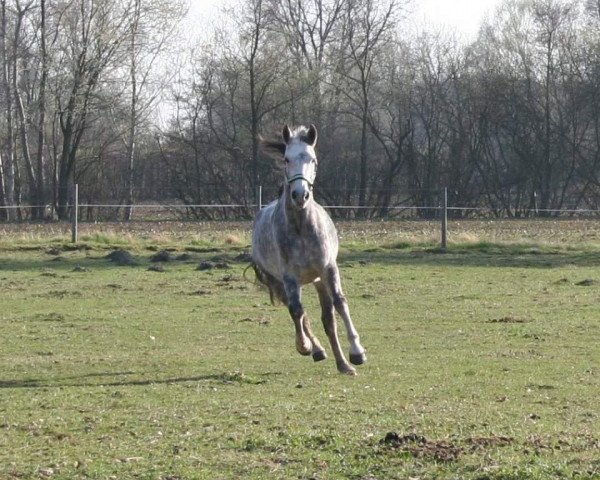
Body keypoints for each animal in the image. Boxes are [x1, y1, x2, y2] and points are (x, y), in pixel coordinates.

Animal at [252, 124, 368, 376]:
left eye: (312, 159)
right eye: (286, 159)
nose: (300, 195)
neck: (301, 227)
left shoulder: (328, 269)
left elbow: (339, 303)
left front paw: (357, 352)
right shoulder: (289, 277)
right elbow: (297, 311)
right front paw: (304, 346)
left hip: (317, 280)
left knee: (328, 319)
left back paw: (343, 364)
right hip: (280, 283)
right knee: (299, 312)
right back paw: (317, 350)